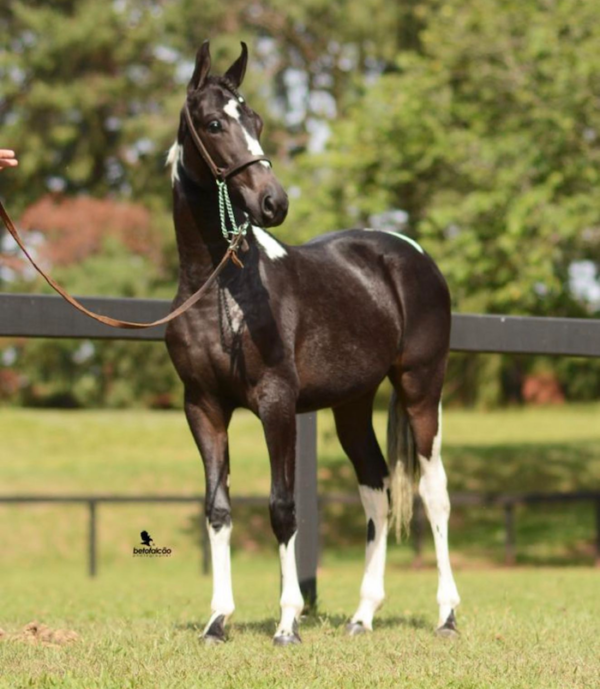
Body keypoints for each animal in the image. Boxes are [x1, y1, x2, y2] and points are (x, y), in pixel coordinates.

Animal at [164, 41, 460, 644]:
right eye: (214, 123)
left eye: (255, 121)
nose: (273, 202)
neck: (219, 289)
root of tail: (410, 253)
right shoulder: (202, 407)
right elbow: (218, 509)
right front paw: (217, 621)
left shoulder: (277, 403)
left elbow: (283, 507)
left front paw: (287, 623)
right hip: (353, 404)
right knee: (376, 488)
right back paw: (363, 616)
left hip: (421, 389)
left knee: (432, 492)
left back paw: (446, 615)